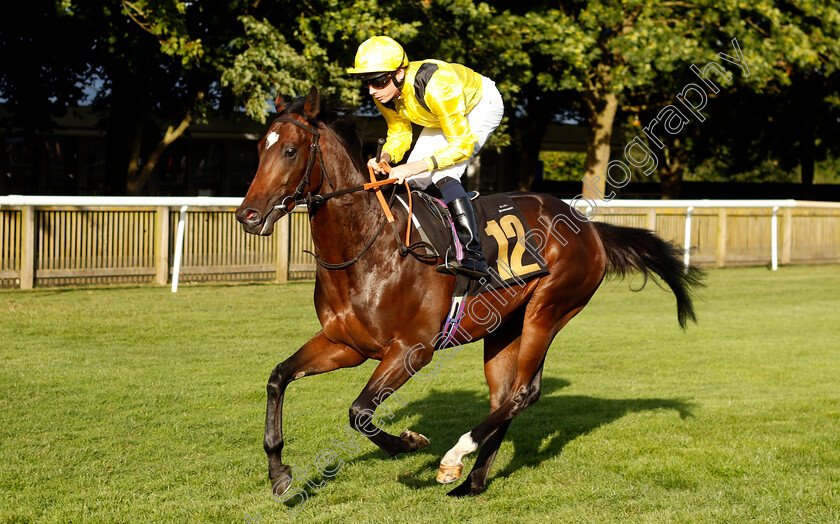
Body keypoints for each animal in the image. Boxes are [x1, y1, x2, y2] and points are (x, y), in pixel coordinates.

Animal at [235, 87, 704, 500]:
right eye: (259, 150)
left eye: (290, 150)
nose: (247, 216)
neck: (367, 249)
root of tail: (587, 225)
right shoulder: (344, 344)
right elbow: (278, 377)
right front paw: (279, 472)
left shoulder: (413, 349)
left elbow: (360, 413)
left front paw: (409, 442)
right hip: (504, 328)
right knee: (505, 397)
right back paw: (472, 481)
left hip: (549, 309)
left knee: (523, 393)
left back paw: (454, 457)